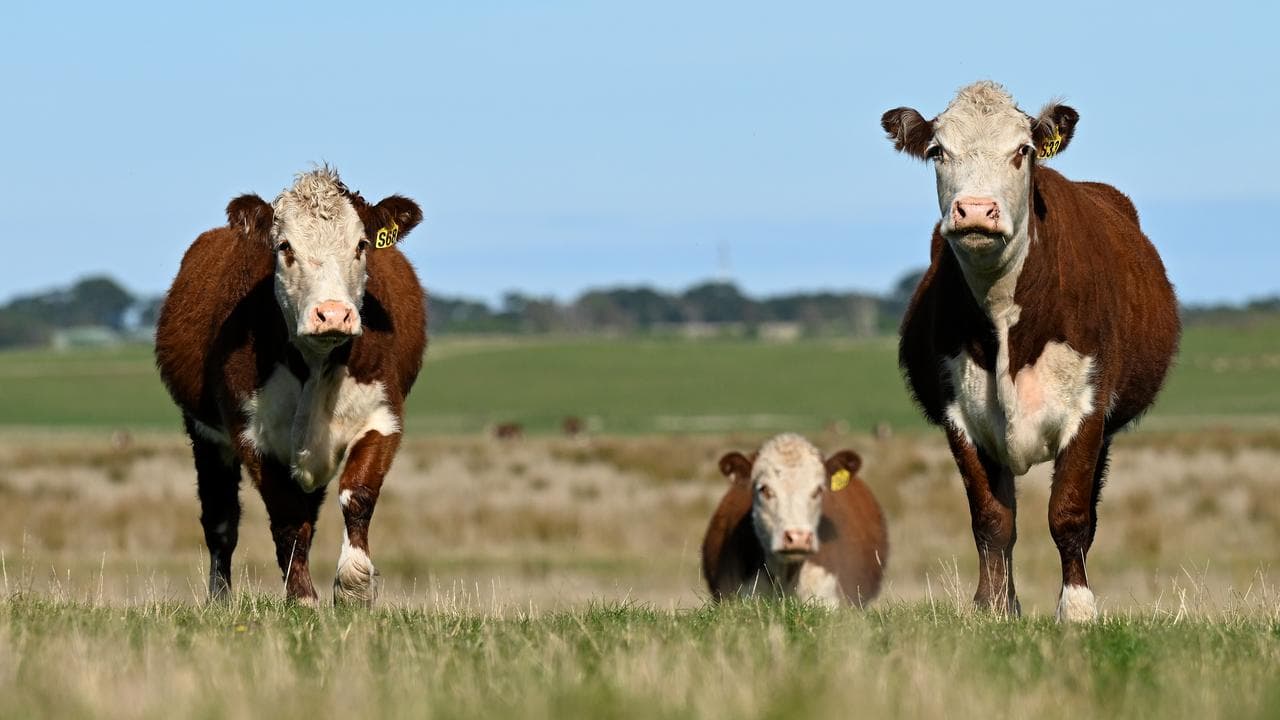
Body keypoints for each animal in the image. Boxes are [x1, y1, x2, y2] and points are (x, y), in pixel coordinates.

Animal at [155, 166, 426, 606]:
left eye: (361, 245)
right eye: (285, 246)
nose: (332, 314)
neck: (315, 363)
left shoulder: (383, 416)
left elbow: (357, 494)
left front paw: (353, 586)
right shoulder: (251, 433)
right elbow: (285, 518)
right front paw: (301, 597)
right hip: (204, 435)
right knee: (221, 520)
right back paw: (220, 598)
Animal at [881, 81, 1180, 621]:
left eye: (1022, 151)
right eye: (937, 151)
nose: (976, 210)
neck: (1005, 320)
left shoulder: (1088, 411)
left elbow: (1069, 514)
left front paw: (1077, 608)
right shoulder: (961, 415)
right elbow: (992, 519)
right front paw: (995, 606)